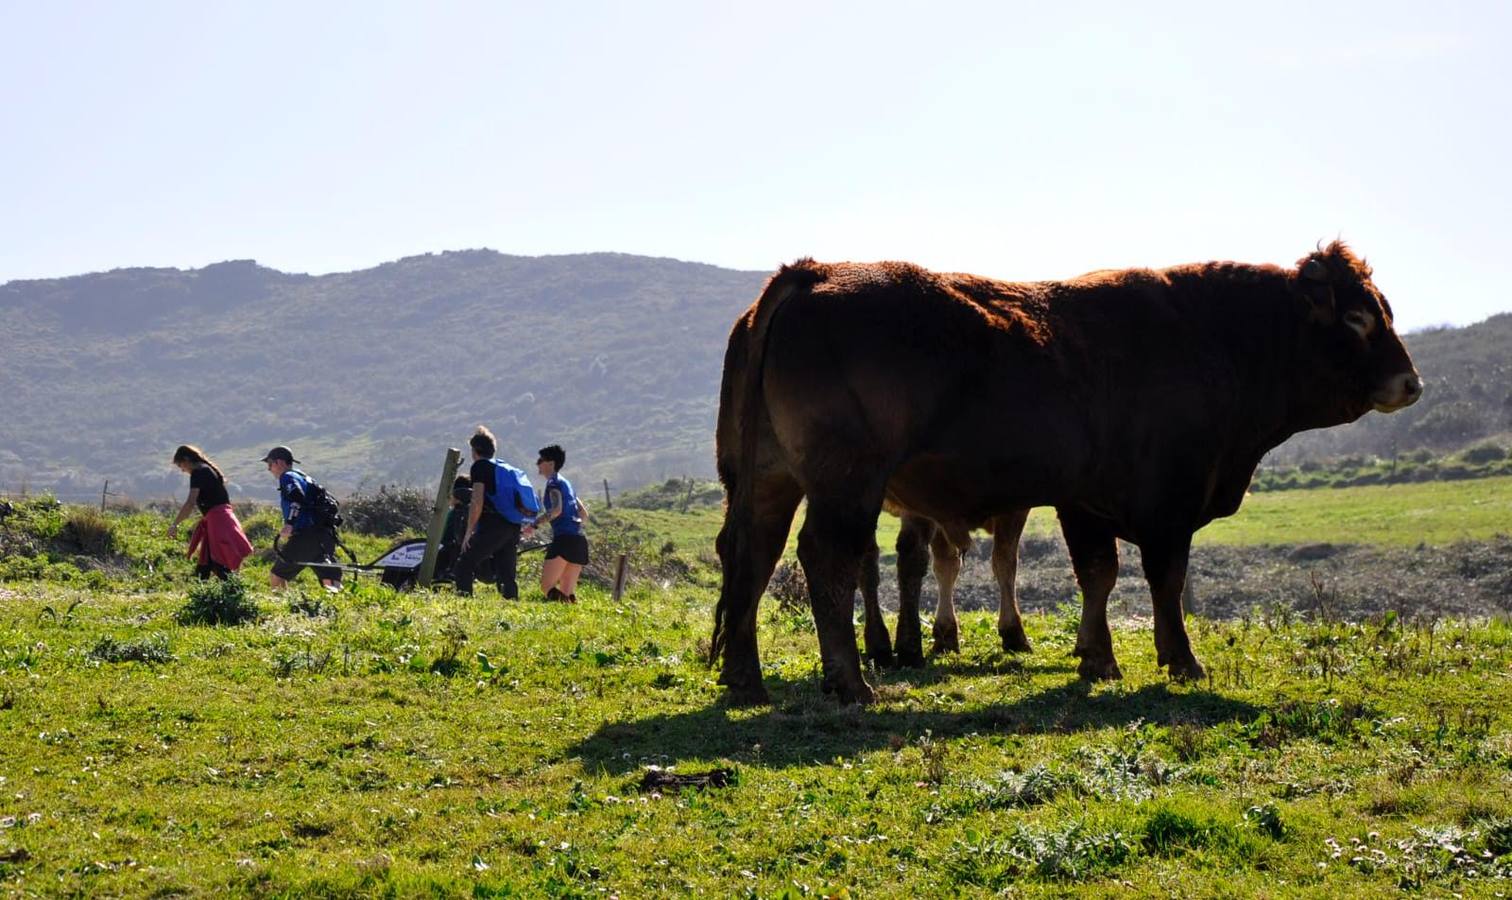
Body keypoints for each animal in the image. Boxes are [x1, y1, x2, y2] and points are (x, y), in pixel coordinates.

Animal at [713, 243, 1421, 707]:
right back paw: (850, 680)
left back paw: (745, 677)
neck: (1212, 337)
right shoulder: (1168, 506)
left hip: (770, 481)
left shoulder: (1084, 502)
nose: (1411, 382)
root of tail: (812, 274)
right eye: (1357, 317)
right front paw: (1181, 660)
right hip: (847, 484)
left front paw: (1095, 657)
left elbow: (1097, 577)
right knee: (825, 557)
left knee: (752, 554)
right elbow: (1164, 582)